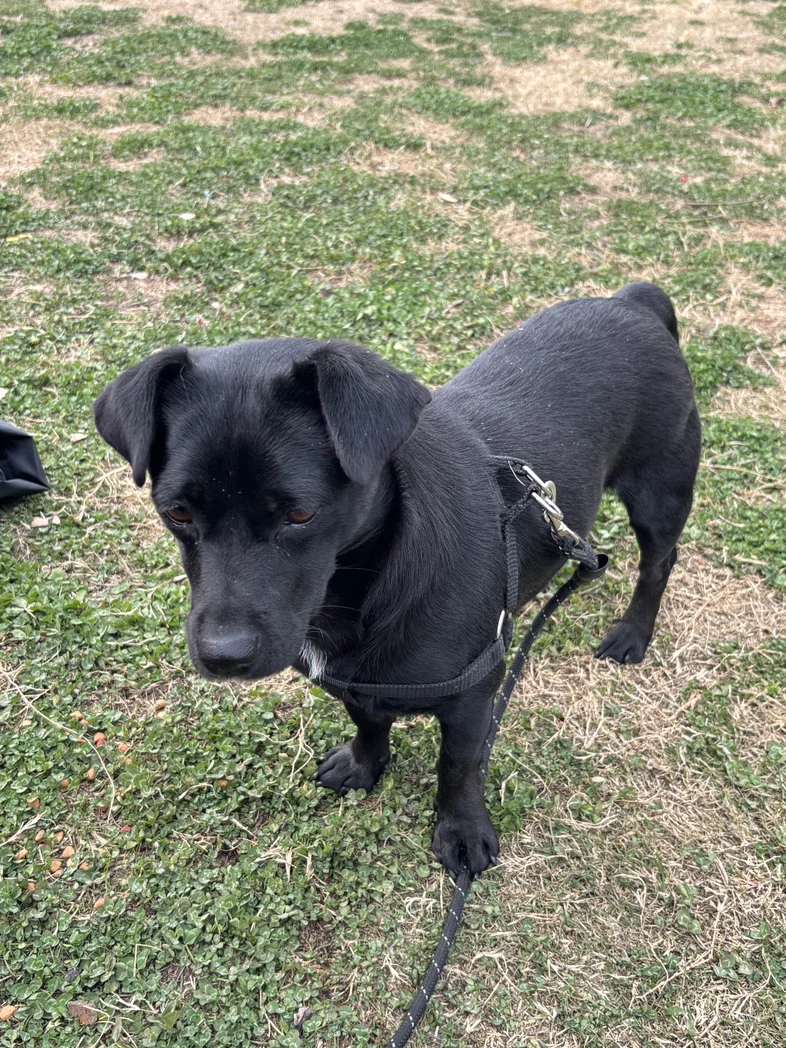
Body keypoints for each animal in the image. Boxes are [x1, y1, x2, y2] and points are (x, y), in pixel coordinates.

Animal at [94, 282, 700, 877]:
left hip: (660, 494)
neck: (365, 582)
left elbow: (458, 765)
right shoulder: (353, 679)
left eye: (300, 515)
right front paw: (365, 764)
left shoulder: (475, 692)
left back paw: (633, 634)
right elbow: (366, 720)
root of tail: (633, 302)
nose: (224, 657)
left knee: (657, 564)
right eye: (176, 513)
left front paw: (462, 830)